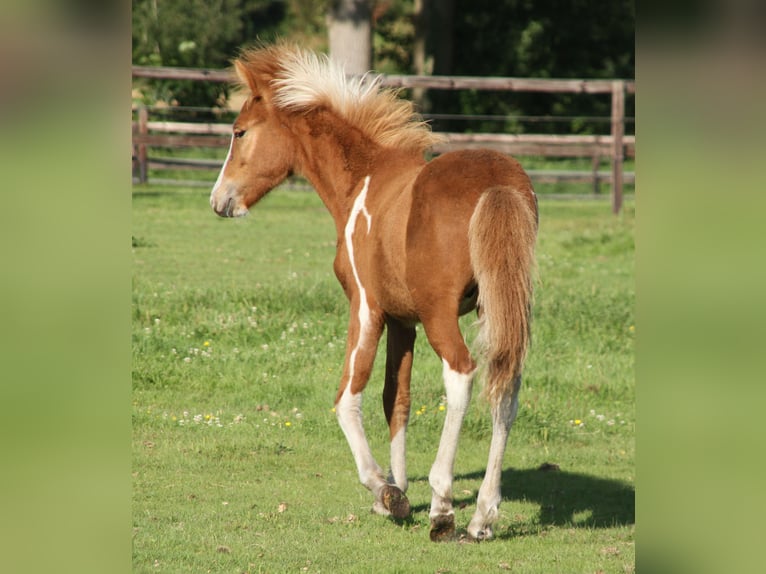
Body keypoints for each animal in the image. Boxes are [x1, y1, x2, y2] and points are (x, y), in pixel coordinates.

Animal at [210, 42, 540, 544]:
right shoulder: (403, 320)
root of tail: (496, 183)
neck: (363, 181)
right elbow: (395, 400)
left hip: (442, 316)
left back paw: (443, 509)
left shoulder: (366, 307)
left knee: (462, 374)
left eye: (239, 132)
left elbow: (349, 395)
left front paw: (385, 491)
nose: (219, 200)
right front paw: (397, 487)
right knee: (506, 387)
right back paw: (482, 516)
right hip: (500, 308)